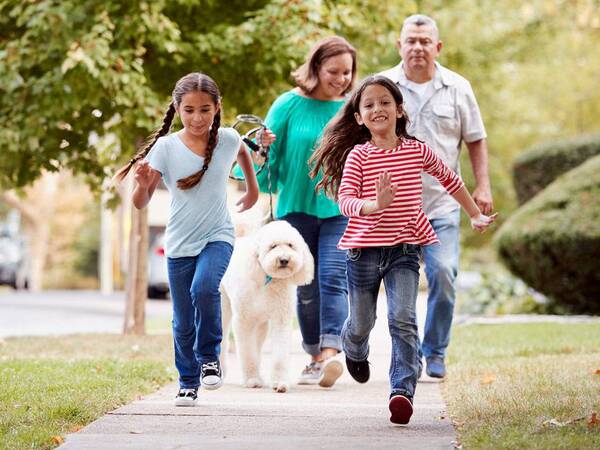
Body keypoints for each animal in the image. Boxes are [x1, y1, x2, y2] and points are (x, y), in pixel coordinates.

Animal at [220, 220, 314, 392]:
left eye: (290, 245)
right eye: (273, 246)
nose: (284, 259)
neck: (267, 278)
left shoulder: (281, 319)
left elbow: (279, 354)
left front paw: (279, 382)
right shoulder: (243, 320)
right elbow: (247, 352)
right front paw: (251, 379)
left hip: (261, 323)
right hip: (223, 305)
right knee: (222, 338)